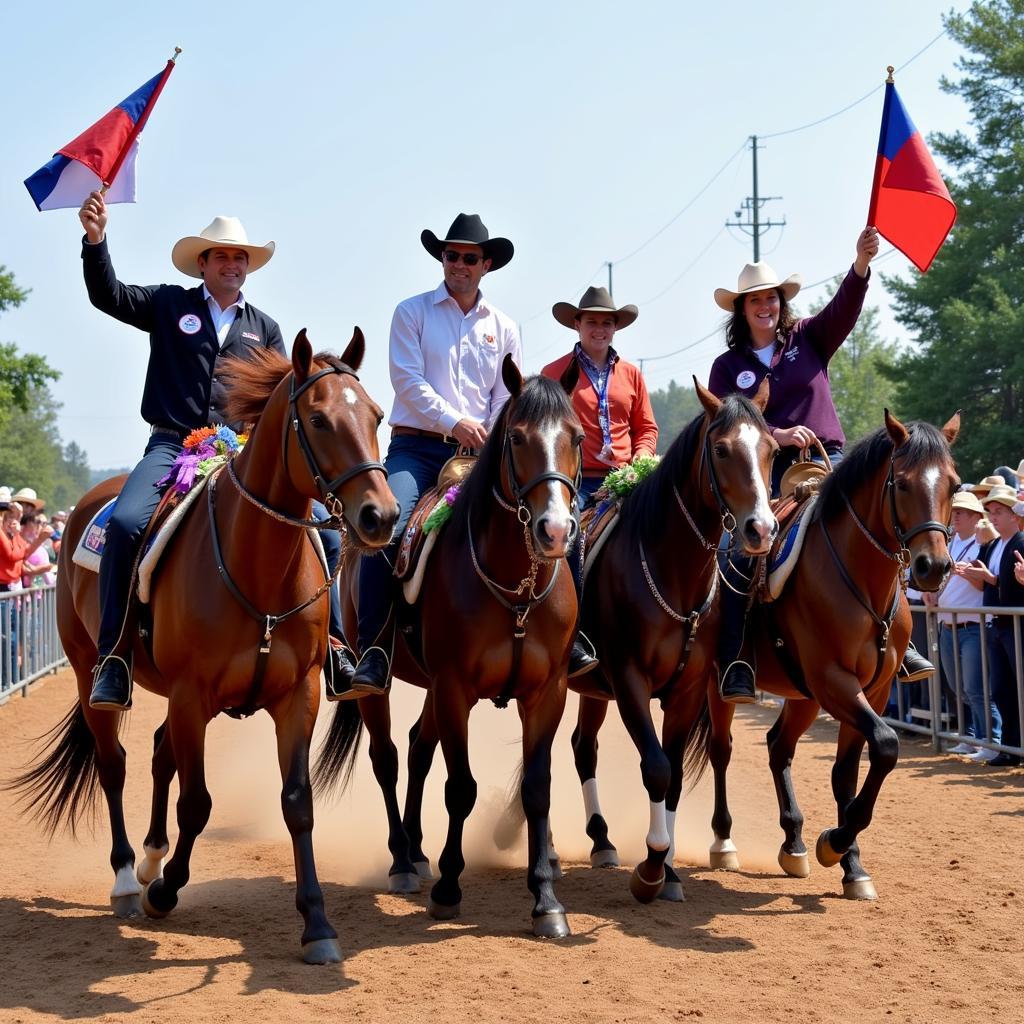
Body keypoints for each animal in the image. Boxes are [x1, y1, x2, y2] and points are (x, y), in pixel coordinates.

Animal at [12, 331, 395, 962]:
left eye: (377, 415)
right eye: (317, 419)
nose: (380, 516)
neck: (256, 567)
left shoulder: (298, 697)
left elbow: (297, 802)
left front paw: (317, 923)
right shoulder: (193, 696)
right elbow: (197, 803)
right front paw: (164, 892)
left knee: (158, 755)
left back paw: (150, 857)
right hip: (88, 672)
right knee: (114, 764)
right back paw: (128, 878)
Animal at [317, 358, 585, 937]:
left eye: (576, 437)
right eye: (517, 437)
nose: (555, 530)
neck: (515, 591)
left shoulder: (546, 693)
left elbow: (537, 789)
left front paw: (546, 901)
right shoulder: (456, 689)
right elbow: (460, 787)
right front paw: (447, 888)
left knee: (419, 748)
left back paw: (419, 852)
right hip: (384, 688)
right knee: (388, 758)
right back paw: (402, 861)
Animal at [569, 382, 774, 905]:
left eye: (771, 448)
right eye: (720, 449)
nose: (761, 529)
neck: (671, 573)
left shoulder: (687, 690)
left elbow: (676, 776)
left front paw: (671, 873)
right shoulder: (629, 681)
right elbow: (657, 768)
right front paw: (651, 868)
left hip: (592, 691)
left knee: (584, 747)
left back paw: (602, 841)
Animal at [700, 411, 954, 901]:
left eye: (952, 484)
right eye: (902, 483)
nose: (933, 567)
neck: (860, 579)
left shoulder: (872, 691)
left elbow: (850, 772)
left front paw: (850, 864)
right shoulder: (834, 681)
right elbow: (887, 745)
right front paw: (834, 843)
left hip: (802, 696)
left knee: (778, 746)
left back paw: (793, 843)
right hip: (721, 687)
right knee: (722, 750)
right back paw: (723, 842)